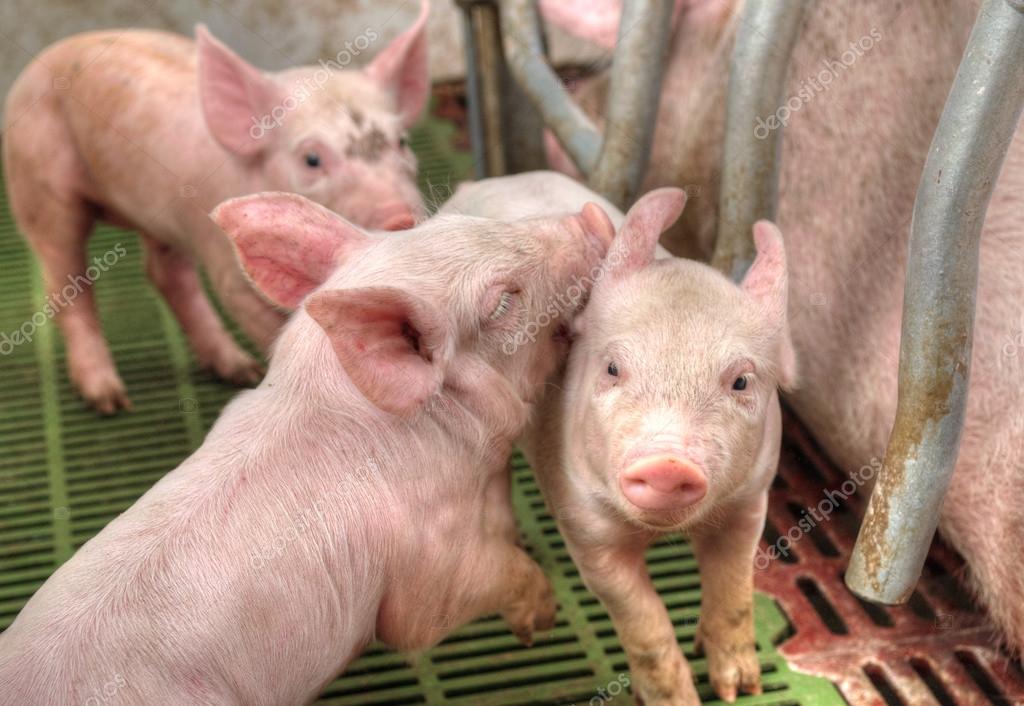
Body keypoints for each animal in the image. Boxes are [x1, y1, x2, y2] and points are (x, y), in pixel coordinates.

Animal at [0, 187, 620, 705]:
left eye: (464, 221)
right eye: (502, 303)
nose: (591, 215)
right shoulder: (423, 570)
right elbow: (453, 599)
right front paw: (539, 623)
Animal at [2, 1, 430, 413]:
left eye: (402, 142)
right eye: (311, 159)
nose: (399, 216)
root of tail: (40, 63)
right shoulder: (229, 271)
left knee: (165, 274)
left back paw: (239, 369)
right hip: (39, 185)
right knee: (66, 280)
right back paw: (110, 400)